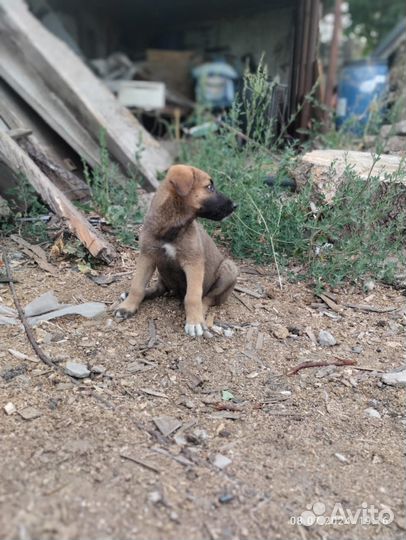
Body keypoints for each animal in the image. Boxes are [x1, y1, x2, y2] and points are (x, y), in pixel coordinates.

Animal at [115, 163, 238, 338]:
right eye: (209, 187)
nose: (235, 206)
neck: (171, 227)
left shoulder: (193, 263)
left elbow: (192, 296)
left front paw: (194, 322)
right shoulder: (147, 256)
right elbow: (137, 286)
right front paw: (128, 306)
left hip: (229, 269)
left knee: (208, 298)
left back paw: (201, 313)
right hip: (163, 273)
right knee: (159, 288)